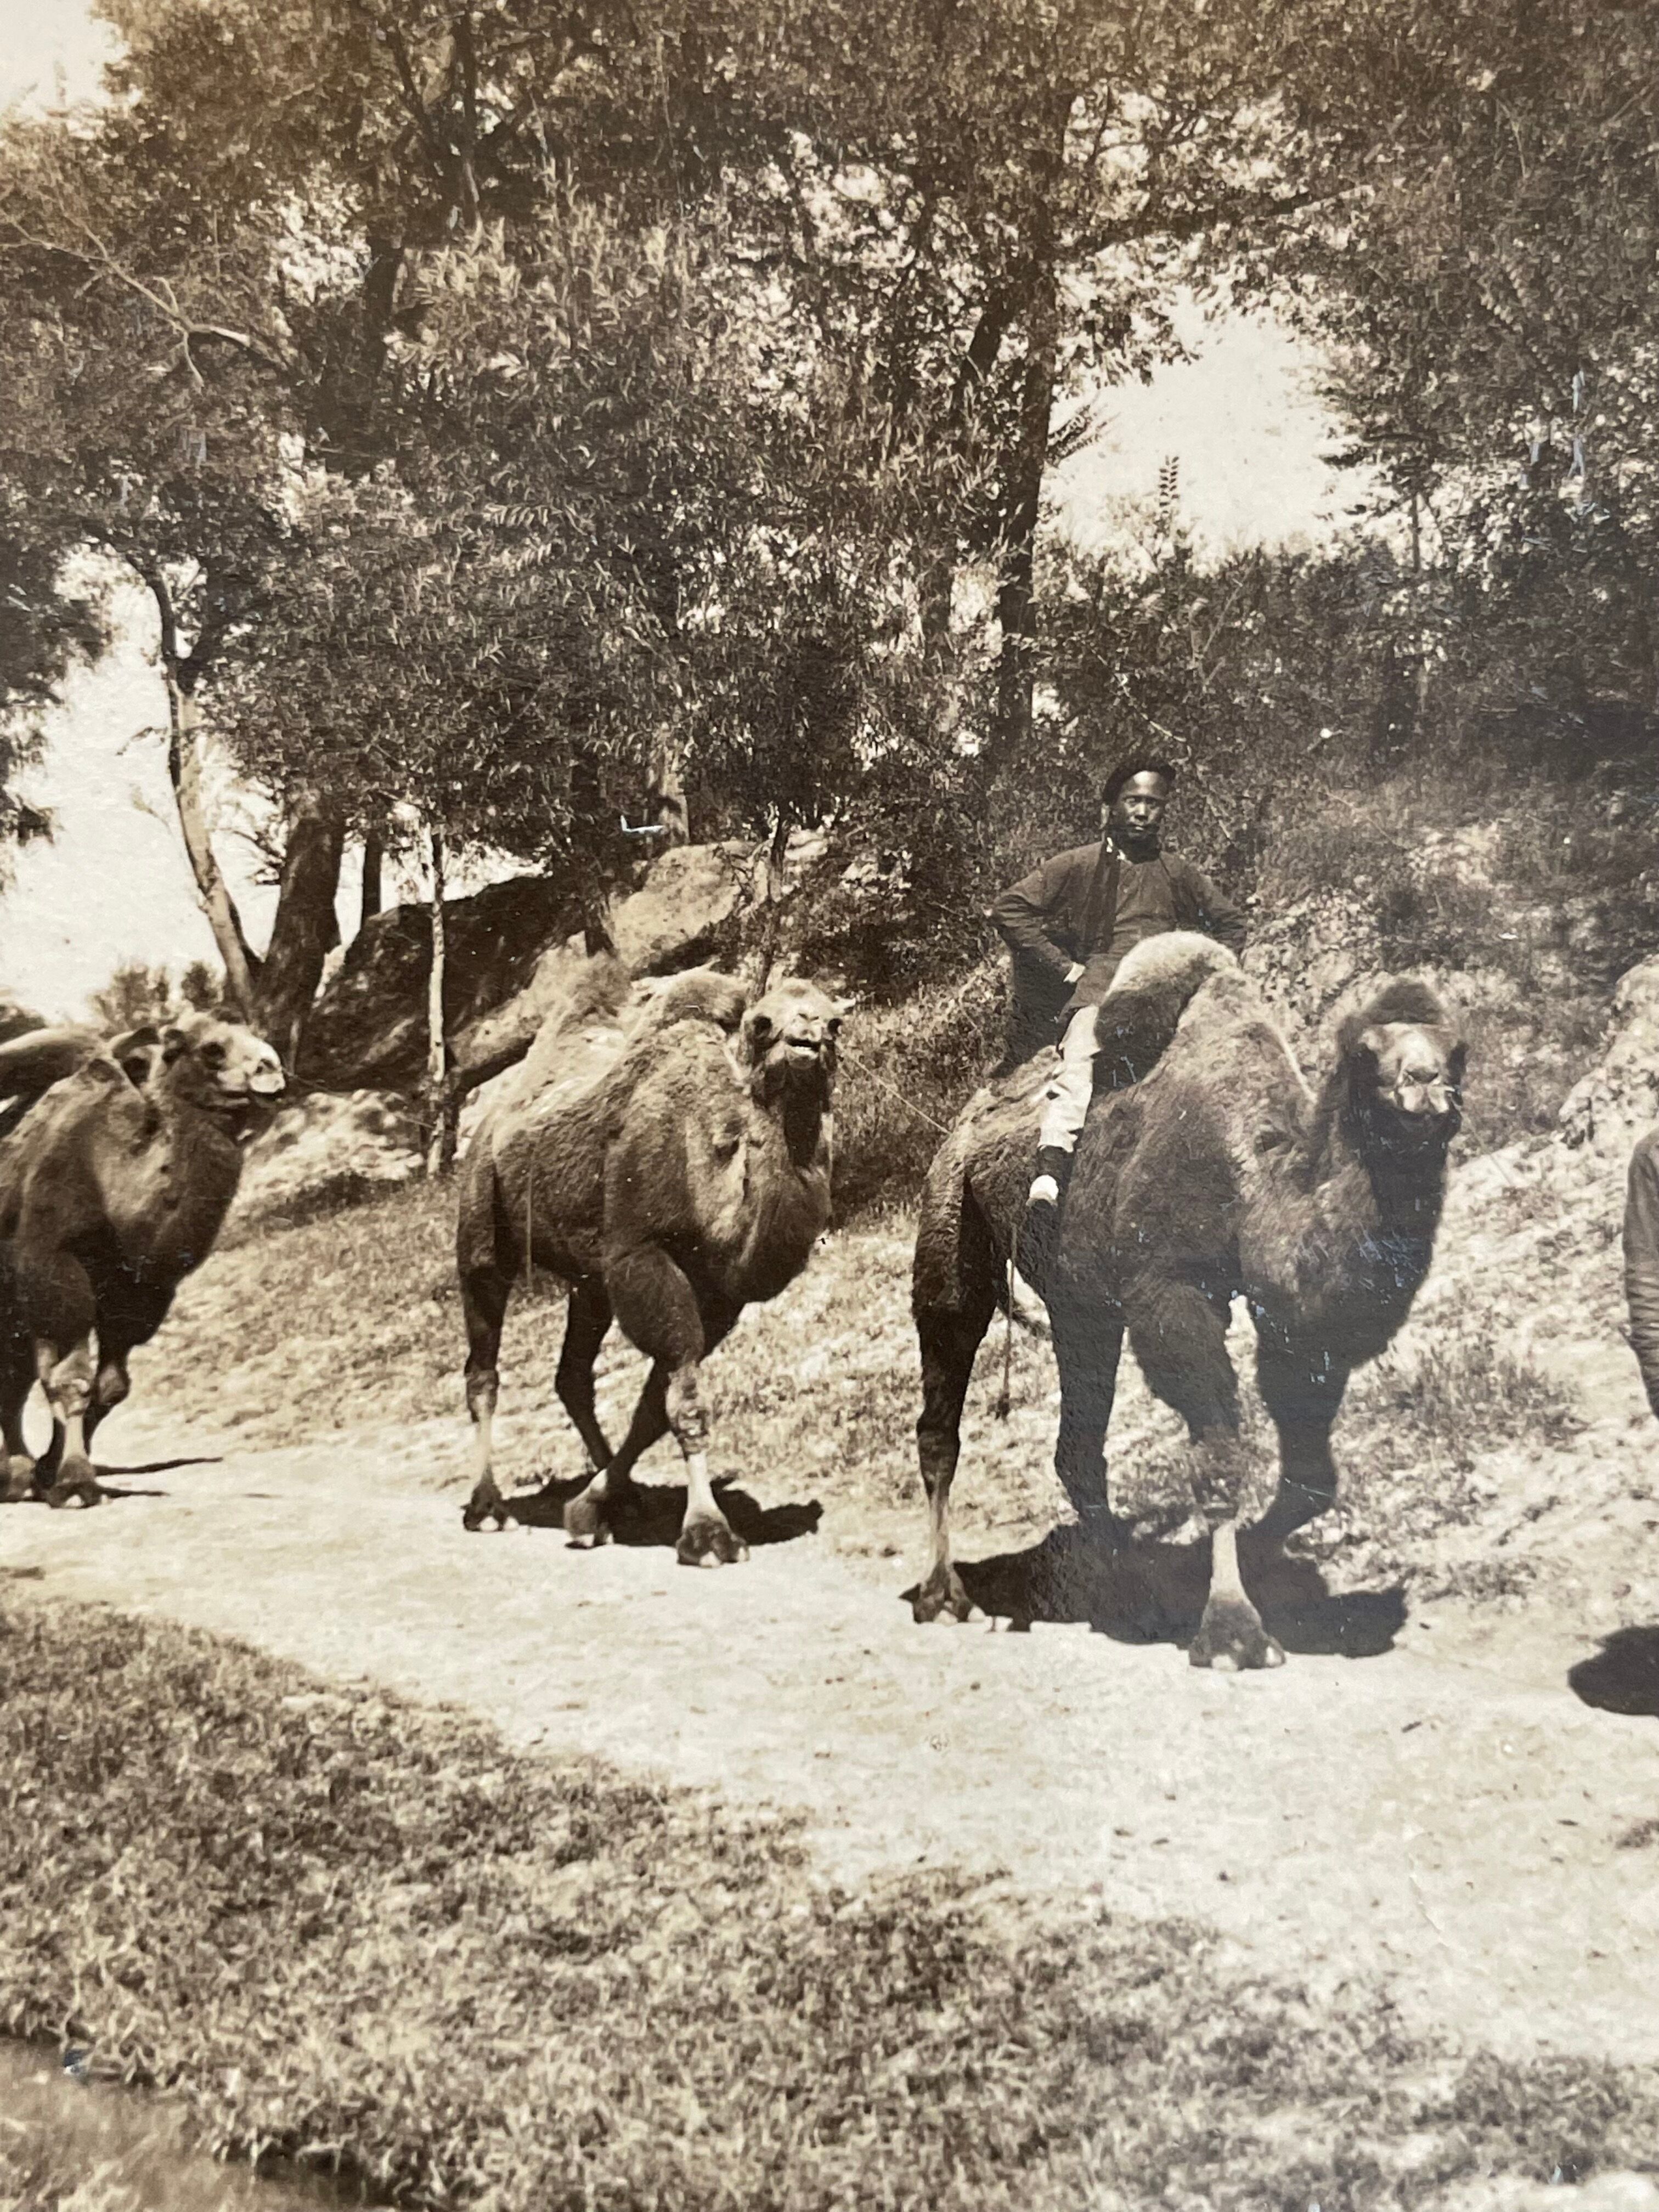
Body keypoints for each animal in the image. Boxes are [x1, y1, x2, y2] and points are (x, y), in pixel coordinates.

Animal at [0, 1012, 286, 1506]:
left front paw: (52, 1472)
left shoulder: (140, 1291)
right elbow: (71, 1380)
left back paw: (20, 1476)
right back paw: (14, 1478)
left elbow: (110, 1387)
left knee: (17, 1377)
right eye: (212, 1049)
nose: (271, 1070)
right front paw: (75, 1482)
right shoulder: (56, 1272)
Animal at [457, 957, 846, 1562]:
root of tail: (488, 1118)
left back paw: (622, 1497)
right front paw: (709, 1535)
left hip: (589, 1282)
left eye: (836, 1022)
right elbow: (682, 1397)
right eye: (761, 1024)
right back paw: (489, 1508)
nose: (808, 1036)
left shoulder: (718, 1296)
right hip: (480, 1214)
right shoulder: (642, 1255)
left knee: (572, 1376)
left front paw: (592, 1507)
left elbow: (653, 1405)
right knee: (484, 1366)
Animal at [910, 931, 1466, 1669]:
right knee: (945, 1372)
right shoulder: (1170, 1290)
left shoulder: (1292, 1324)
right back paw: (943, 1595)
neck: (1255, 1176)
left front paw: (1252, 1563)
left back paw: (1124, 1582)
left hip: (1080, 1302)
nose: (1426, 1086)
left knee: (1078, 1439)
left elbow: (1311, 1473)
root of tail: (970, 1114)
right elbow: (1221, 1451)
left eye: (1458, 1048)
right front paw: (1233, 1633)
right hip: (950, 1205)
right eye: (1364, 1054)